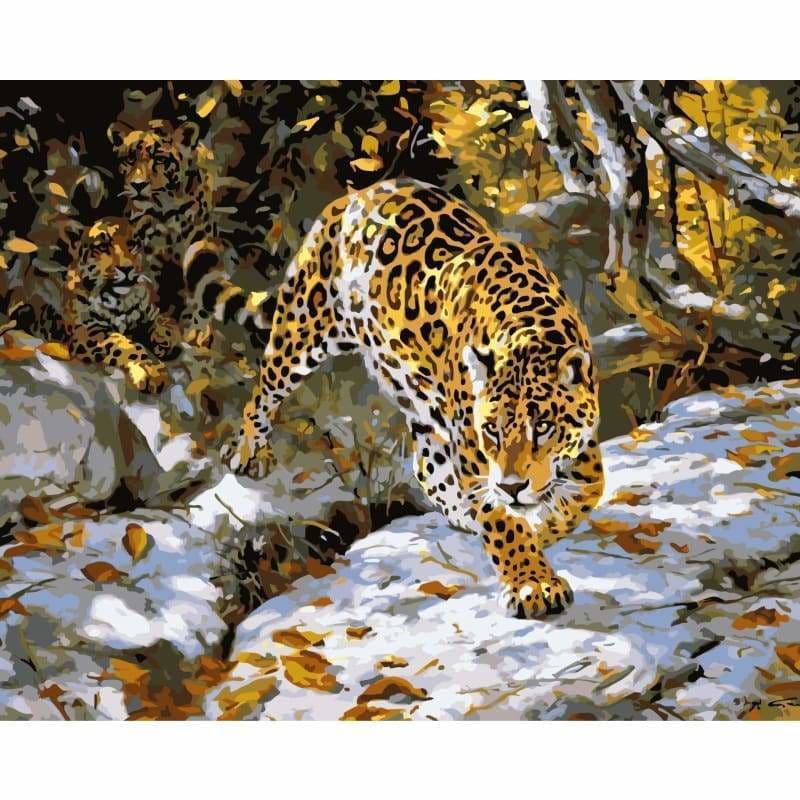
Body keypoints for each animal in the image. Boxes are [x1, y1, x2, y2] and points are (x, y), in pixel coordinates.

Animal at [63, 217, 181, 393]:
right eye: (102, 247)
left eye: (131, 244)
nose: (126, 268)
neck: (120, 300)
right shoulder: (86, 331)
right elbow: (124, 344)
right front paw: (150, 370)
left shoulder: (154, 311)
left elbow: (169, 324)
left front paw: (163, 341)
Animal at [107, 118, 274, 346]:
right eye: (130, 159)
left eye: (160, 159)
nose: (137, 185)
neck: (164, 212)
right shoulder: (151, 258)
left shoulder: (201, 246)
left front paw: (193, 330)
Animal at [221, 179, 604, 619]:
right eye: (491, 431)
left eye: (543, 427)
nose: (510, 486)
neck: (529, 331)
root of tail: (353, 196)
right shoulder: (473, 451)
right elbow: (504, 522)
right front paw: (531, 583)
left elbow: (590, 490)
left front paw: (543, 527)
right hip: (303, 329)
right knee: (265, 388)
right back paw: (248, 451)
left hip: (416, 395)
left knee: (427, 468)